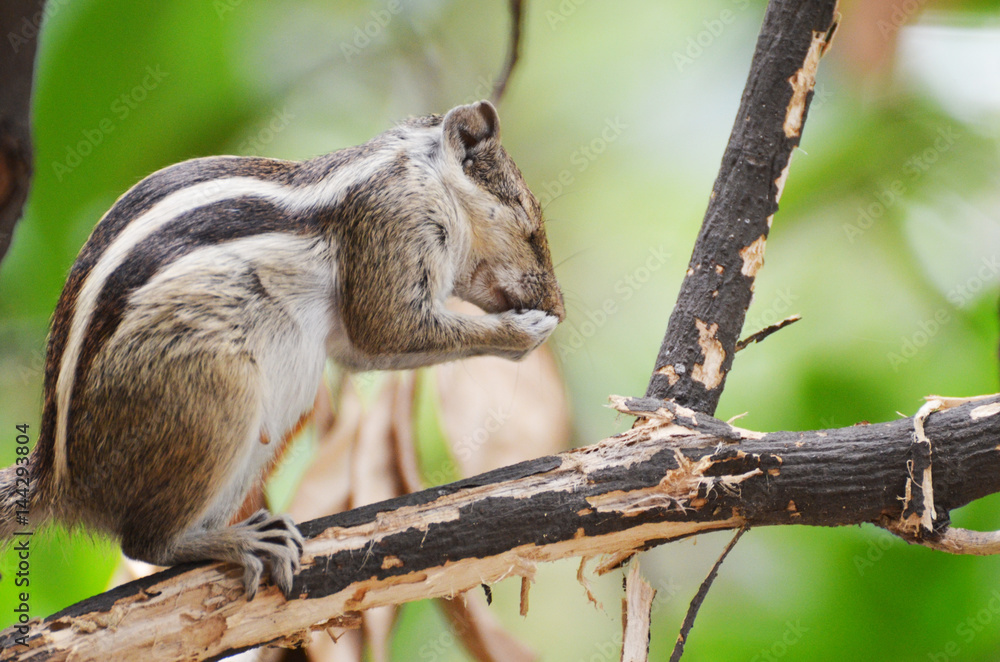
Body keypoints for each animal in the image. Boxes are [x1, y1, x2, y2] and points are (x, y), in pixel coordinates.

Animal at [0, 100, 564, 600]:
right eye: (527, 220)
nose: (559, 305)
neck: (418, 171)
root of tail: (61, 480)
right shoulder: (392, 222)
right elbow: (385, 326)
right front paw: (523, 331)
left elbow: (364, 349)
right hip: (213, 396)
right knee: (145, 544)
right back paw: (238, 541)